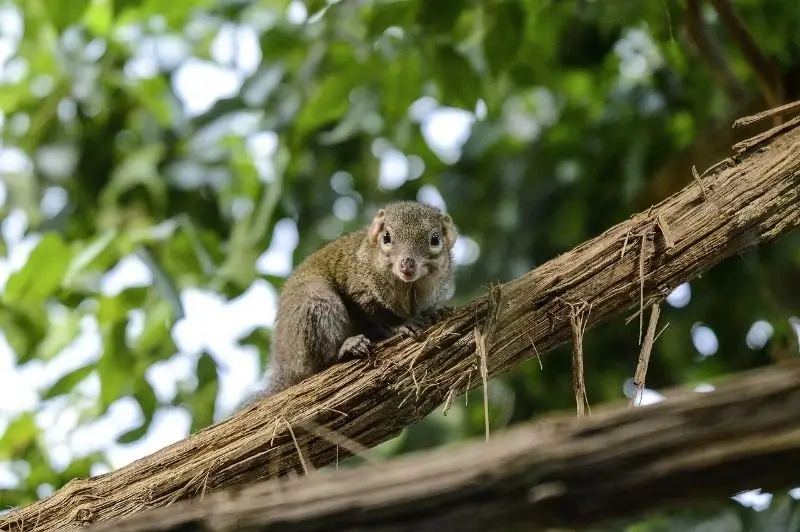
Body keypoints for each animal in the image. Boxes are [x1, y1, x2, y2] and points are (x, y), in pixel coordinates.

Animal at [256, 202, 456, 396]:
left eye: (435, 239)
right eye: (386, 237)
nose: (407, 263)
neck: (408, 285)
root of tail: (286, 365)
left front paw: (435, 312)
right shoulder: (359, 284)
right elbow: (376, 312)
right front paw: (402, 323)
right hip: (315, 305)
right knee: (319, 365)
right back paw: (345, 350)